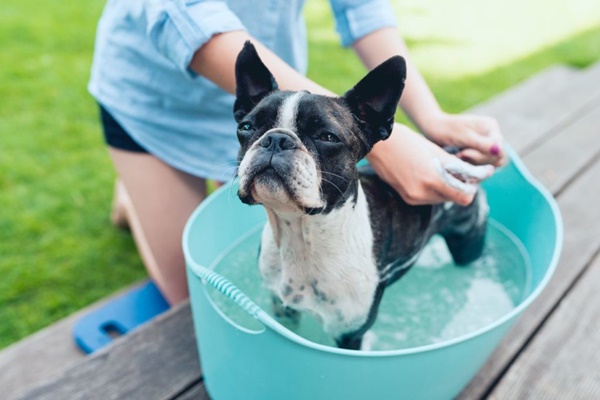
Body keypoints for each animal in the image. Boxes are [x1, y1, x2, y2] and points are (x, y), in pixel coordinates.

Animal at [232, 41, 490, 350]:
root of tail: (451, 154)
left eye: (328, 137)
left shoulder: (349, 333)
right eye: (246, 127)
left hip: (468, 240)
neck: (301, 233)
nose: (276, 139)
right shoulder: (283, 309)